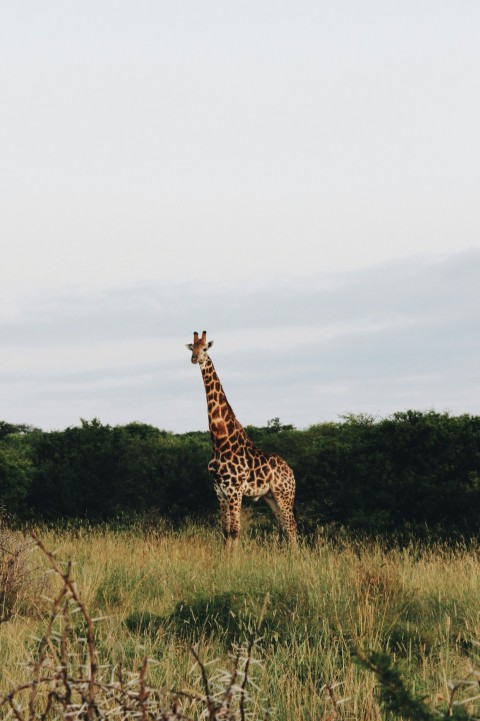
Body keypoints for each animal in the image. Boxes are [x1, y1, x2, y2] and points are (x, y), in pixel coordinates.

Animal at [185, 330, 294, 544]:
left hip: (285, 495)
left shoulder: (235, 489)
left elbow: (235, 531)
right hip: (271, 496)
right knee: (284, 528)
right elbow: (225, 531)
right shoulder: (219, 490)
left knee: (292, 529)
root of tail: (292, 472)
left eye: (205, 348)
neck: (220, 442)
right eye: (192, 347)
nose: (194, 358)